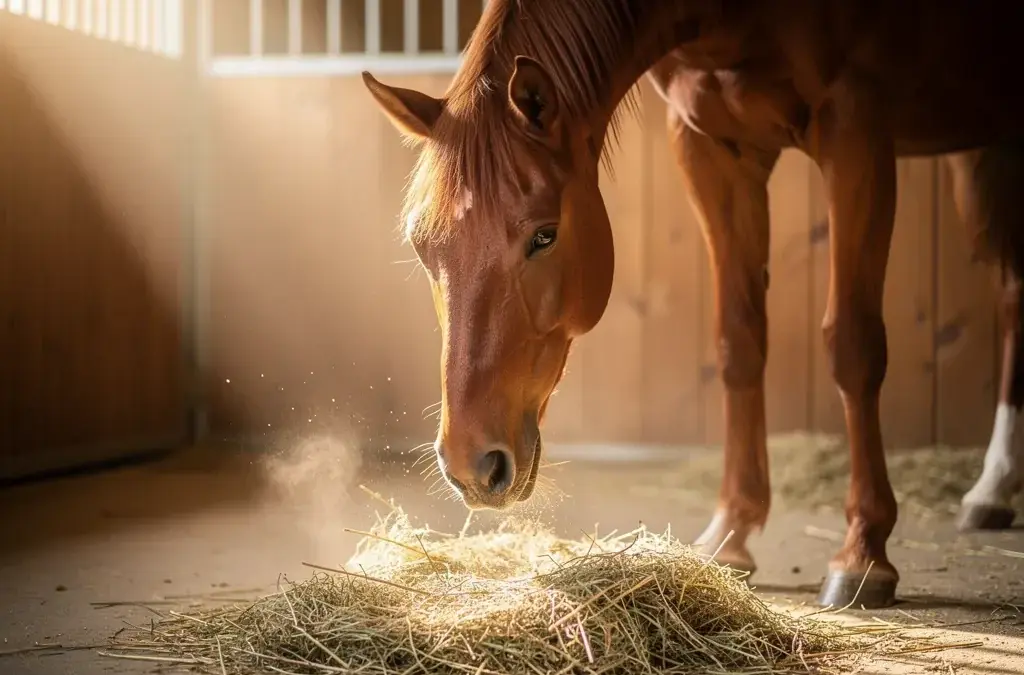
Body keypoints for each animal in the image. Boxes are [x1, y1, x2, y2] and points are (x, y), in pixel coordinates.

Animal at [361, 0, 1024, 609]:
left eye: (544, 236)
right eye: (422, 246)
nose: (471, 465)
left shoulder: (856, 133)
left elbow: (853, 346)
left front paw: (863, 553)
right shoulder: (711, 148)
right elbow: (738, 341)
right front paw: (731, 532)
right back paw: (992, 489)